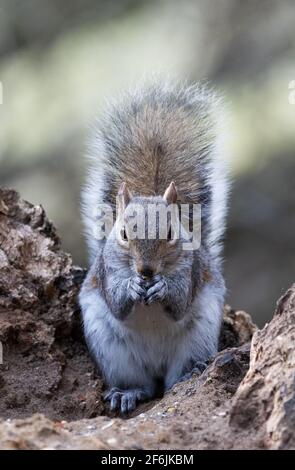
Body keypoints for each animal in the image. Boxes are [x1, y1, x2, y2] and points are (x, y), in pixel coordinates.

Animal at [78, 82, 229, 414]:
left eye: (171, 232)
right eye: (123, 232)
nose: (146, 270)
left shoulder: (191, 270)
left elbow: (180, 302)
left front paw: (162, 288)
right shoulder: (107, 271)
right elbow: (117, 304)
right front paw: (132, 286)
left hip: (197, 340)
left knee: (175, 378)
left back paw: (190, 373)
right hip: (114, 354)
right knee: (143, 385)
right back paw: (127, 393)